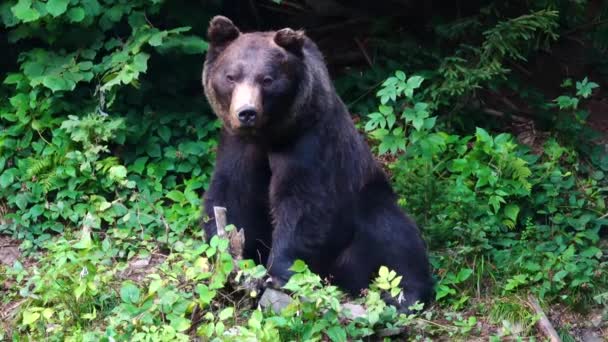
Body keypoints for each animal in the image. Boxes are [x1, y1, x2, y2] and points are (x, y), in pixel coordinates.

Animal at [201, 15, 432, 310]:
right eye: (231, 76)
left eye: (267, 79)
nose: (246, 113)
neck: (270, 134)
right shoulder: (238, 145)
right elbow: (231, 195)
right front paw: (228, 256)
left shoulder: (309, 141)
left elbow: (304, 203)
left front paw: (278, 273)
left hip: (364, 205)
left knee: (393, 233)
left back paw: (405, 295)